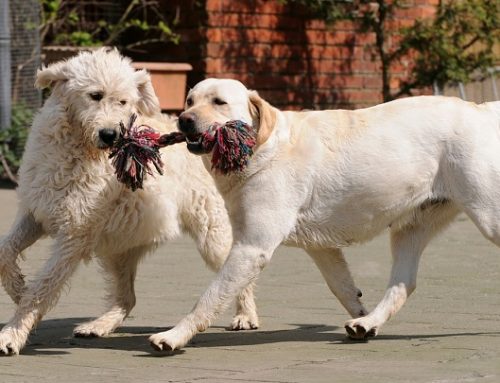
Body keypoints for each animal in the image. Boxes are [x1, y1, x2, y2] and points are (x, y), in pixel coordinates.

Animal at [0, 51, 258, 356]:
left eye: (123, 102)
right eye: (95, 95)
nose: (111, 134)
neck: (76, 149)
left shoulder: (74, 234)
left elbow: (43, 286)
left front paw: (12, 334)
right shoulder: (35, 212)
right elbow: (5, 251)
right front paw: (17, 288)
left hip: (211, 235)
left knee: (241, 275)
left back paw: (246, 315)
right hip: (118, 247)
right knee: (127, 297)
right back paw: (98, 325)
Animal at [148, 79, 500, 354]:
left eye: (219, 102)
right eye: (190, 101)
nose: (184, 121)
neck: (264, 146)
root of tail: (481, 110)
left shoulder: (251, 248)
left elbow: (209, 298)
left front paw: (173, 336)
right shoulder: (320, 247)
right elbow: (341, 286)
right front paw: (360, 312)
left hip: (488, 216)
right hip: (411, 228)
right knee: (404, 284)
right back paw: (367, 323)